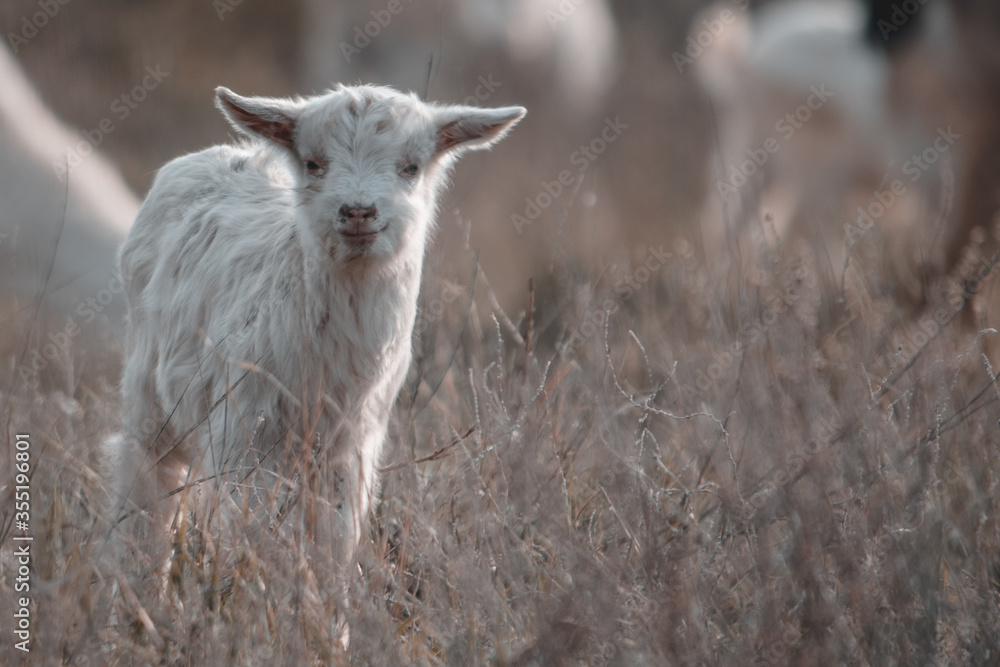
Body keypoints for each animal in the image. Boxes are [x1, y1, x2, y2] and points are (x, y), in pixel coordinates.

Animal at [110, 83, 524, 632]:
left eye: (411, 167)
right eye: (312, 163)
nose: (358, 211)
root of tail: (223, 154)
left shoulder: (352, 446)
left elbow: (334, 545)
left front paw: (327, 631)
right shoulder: (246, 433)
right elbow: (260, 535)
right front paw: (262, 622)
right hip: (149, 386)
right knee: (146, 485)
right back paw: (140, 606)